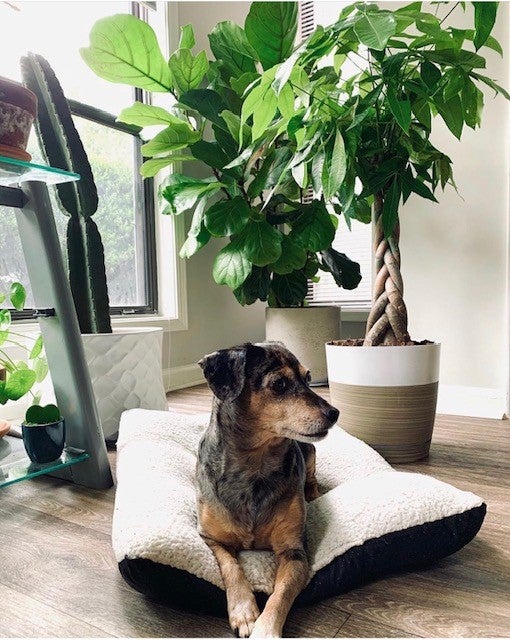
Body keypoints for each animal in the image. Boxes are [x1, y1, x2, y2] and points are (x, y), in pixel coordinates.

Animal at [195, 342, 338, 636]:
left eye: (308, 378)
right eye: (279, 383)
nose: (334, 413)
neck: (254, 467)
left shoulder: (294, 552)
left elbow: (281, 594)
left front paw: (265, 629)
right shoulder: (211, 538)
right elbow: (232, 566)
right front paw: (244, 612)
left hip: (310, 451)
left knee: (312, 477)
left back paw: (313, 493)